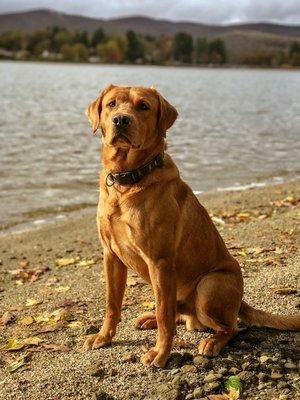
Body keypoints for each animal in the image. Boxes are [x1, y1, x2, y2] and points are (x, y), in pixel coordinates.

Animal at [84, 85, 300, 368]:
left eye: (143, 106)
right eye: (111, 104)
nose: (121, 120)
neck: (127, 181)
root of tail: (240, 300)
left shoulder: (160, 262)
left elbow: (164, 316)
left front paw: (161, 353)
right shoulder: (111, 256)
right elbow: (112, 304)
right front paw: (104, 337)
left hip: (209, 286)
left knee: (228, 327)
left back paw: (213, 342)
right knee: (178, 314)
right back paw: (150, 319)